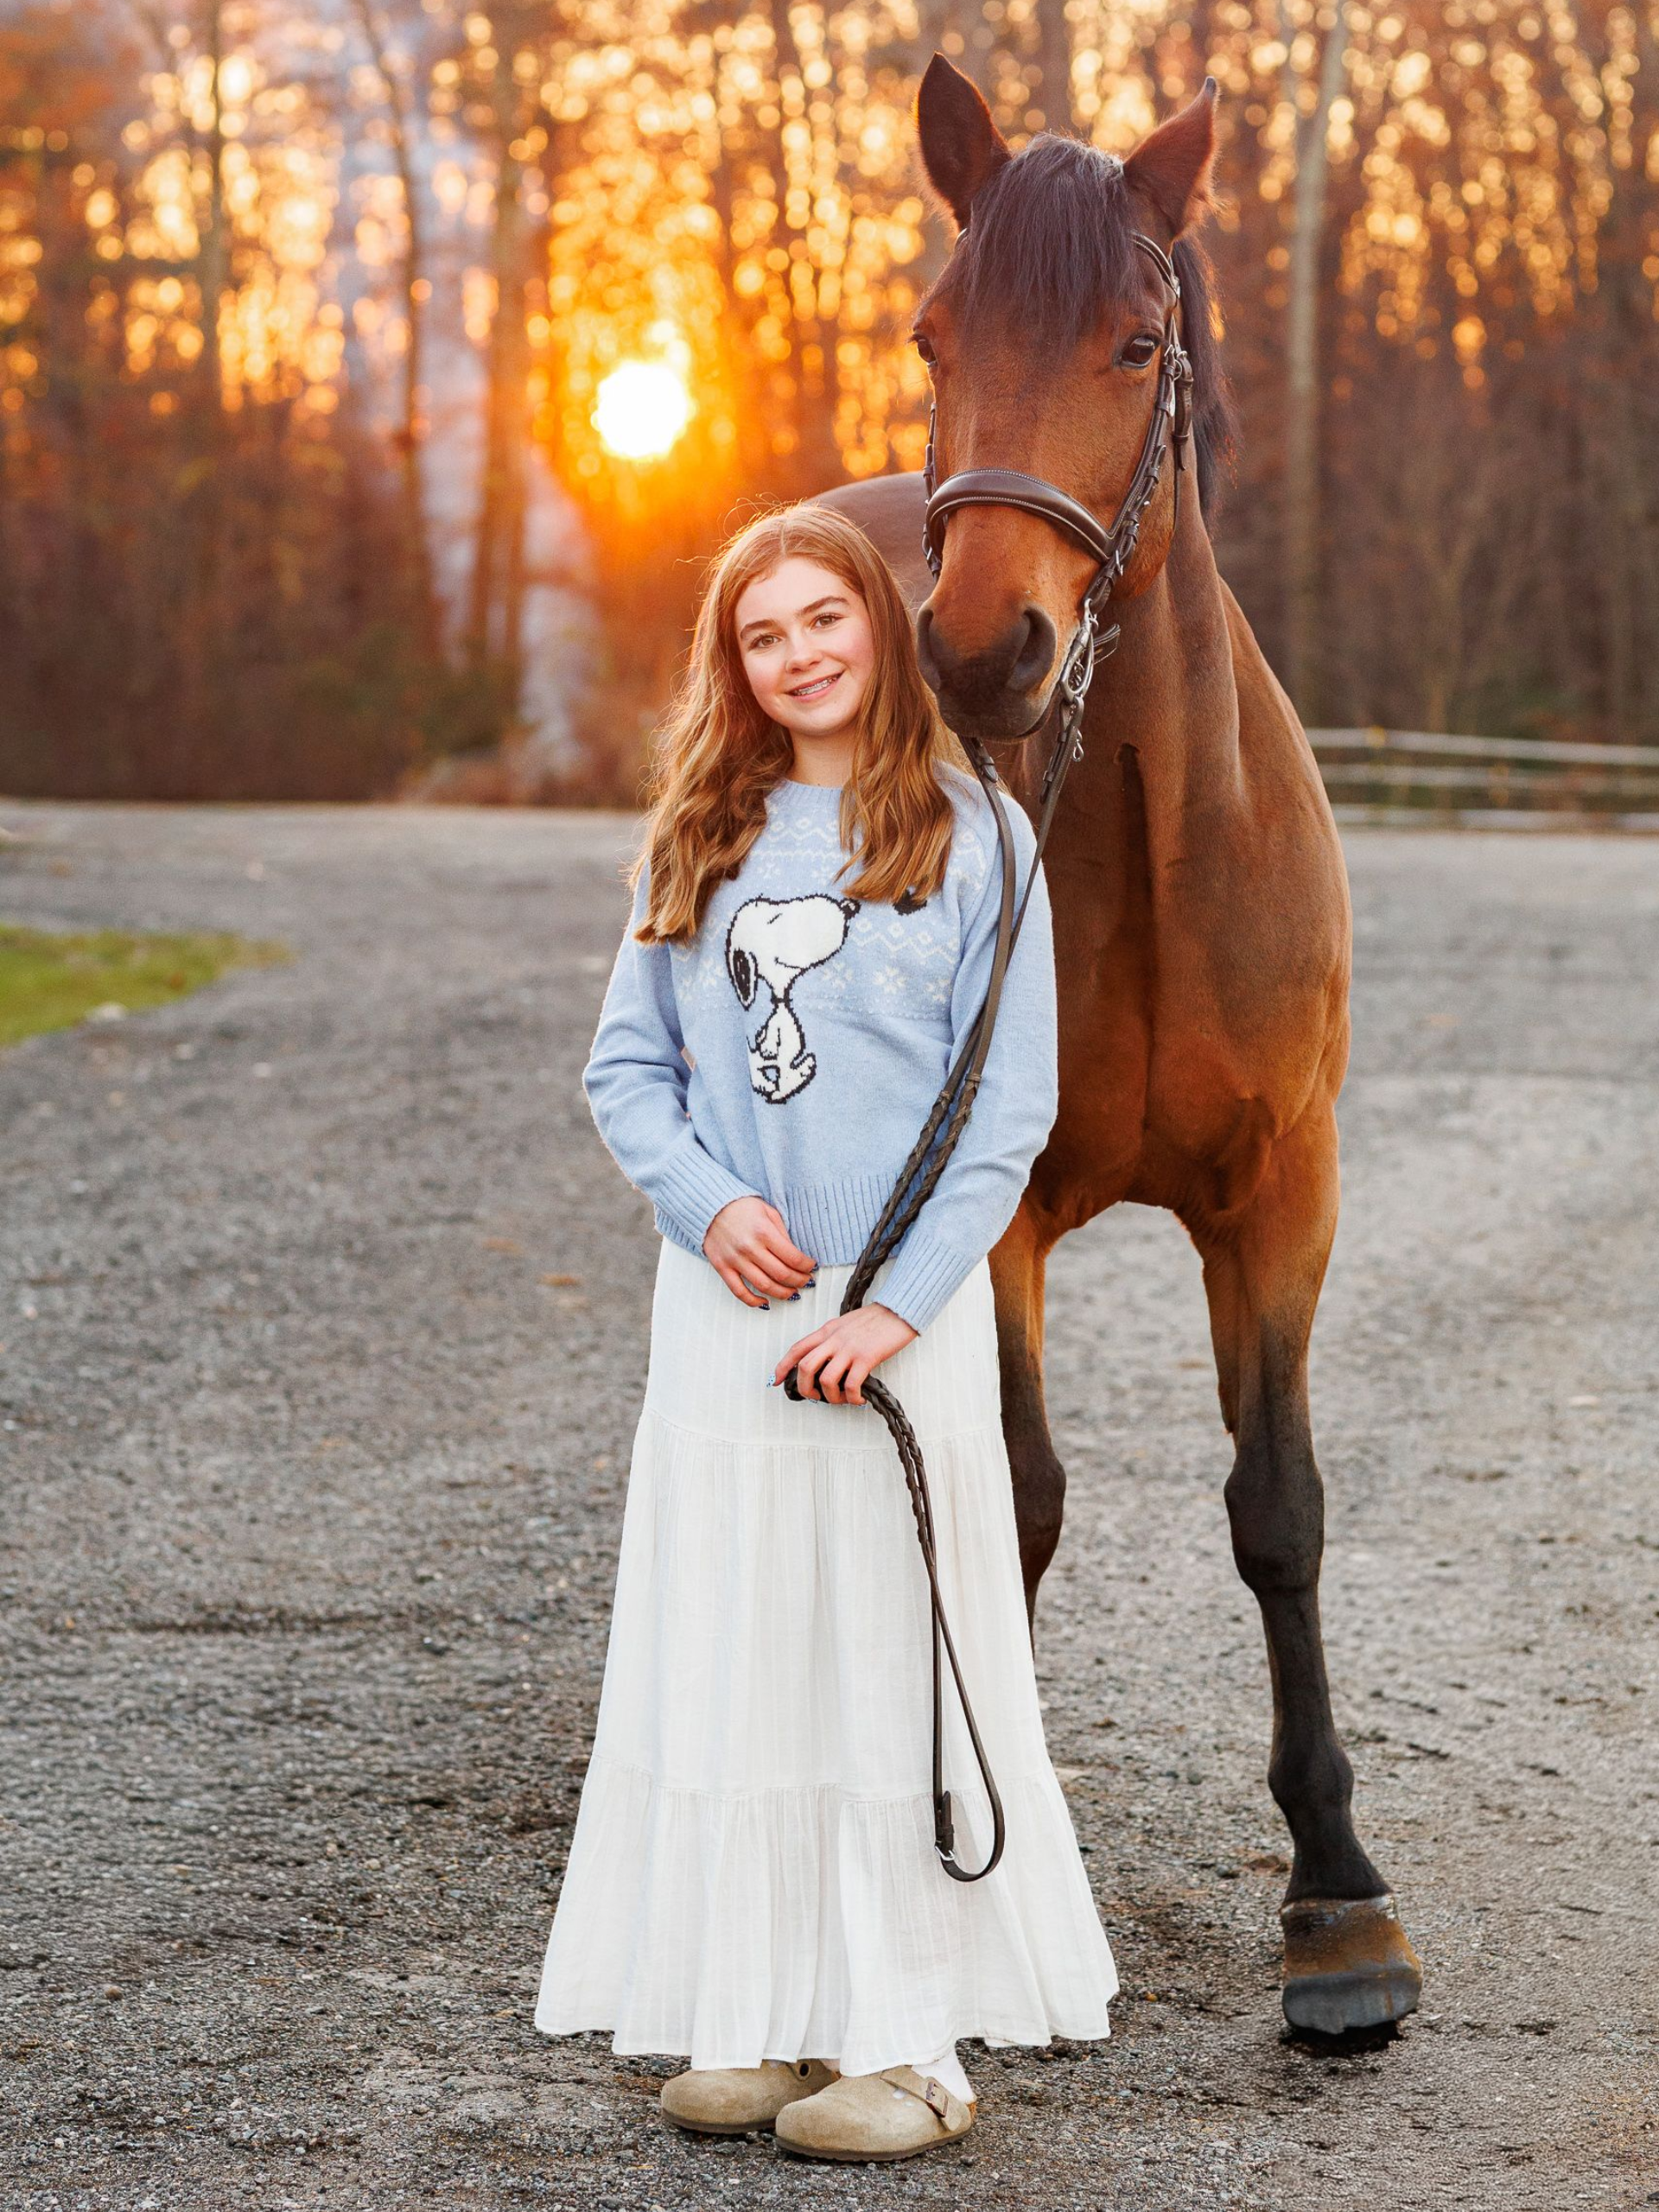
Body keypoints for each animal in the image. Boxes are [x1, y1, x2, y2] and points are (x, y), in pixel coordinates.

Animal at [817, 55, 1422, 2038]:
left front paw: (1338, 1899)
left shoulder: (1284, 1197)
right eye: (933, 332)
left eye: (1138, 341)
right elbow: (1016, 1502)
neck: (1155, 844)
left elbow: (1278, 1507)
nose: (982, 648)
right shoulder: (991, 1210)